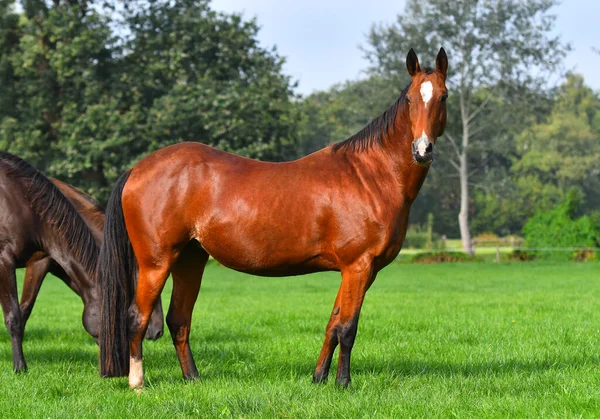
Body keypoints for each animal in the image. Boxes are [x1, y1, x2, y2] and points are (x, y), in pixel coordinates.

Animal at [97, 47, 446, 388]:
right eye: (411, 99)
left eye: (442, 97)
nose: (422, 150)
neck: (369, 175)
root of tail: (137, 169)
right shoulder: (358, 266)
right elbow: (347, 327)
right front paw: (343, 383)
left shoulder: (356, 271)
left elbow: (332, 324)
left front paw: (319, 378)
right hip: (155, 264)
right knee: (137, 317)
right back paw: (137, 382)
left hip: (190, 260)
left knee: (178, 320)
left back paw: (192, 379)